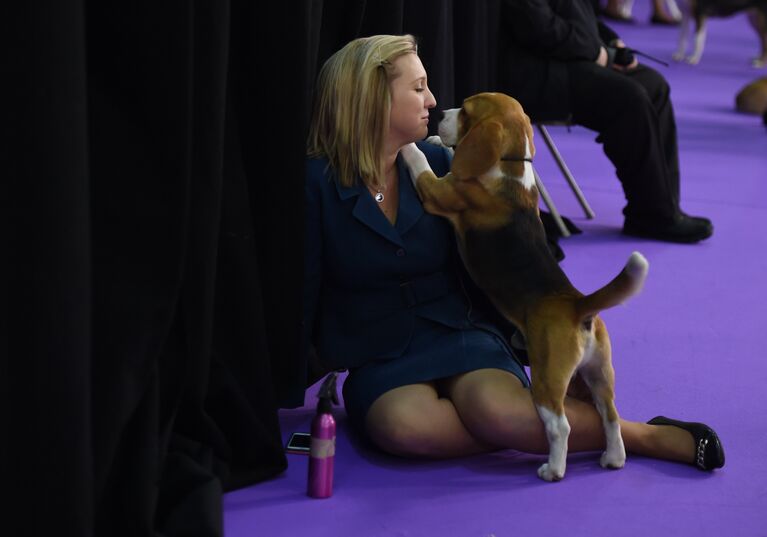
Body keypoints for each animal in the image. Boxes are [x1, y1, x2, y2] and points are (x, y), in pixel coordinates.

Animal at [400, 92, 652, 482]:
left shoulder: (439, 192)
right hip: (599, 373)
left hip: (547, 379)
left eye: (466, 112)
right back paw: (613, 458)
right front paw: (436, 140)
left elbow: (423, 166)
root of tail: (578, 305)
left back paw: (553, 469)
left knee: (560, 425)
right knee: (609, 414)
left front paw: (408, 144)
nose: (439, 114)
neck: (510, 166)